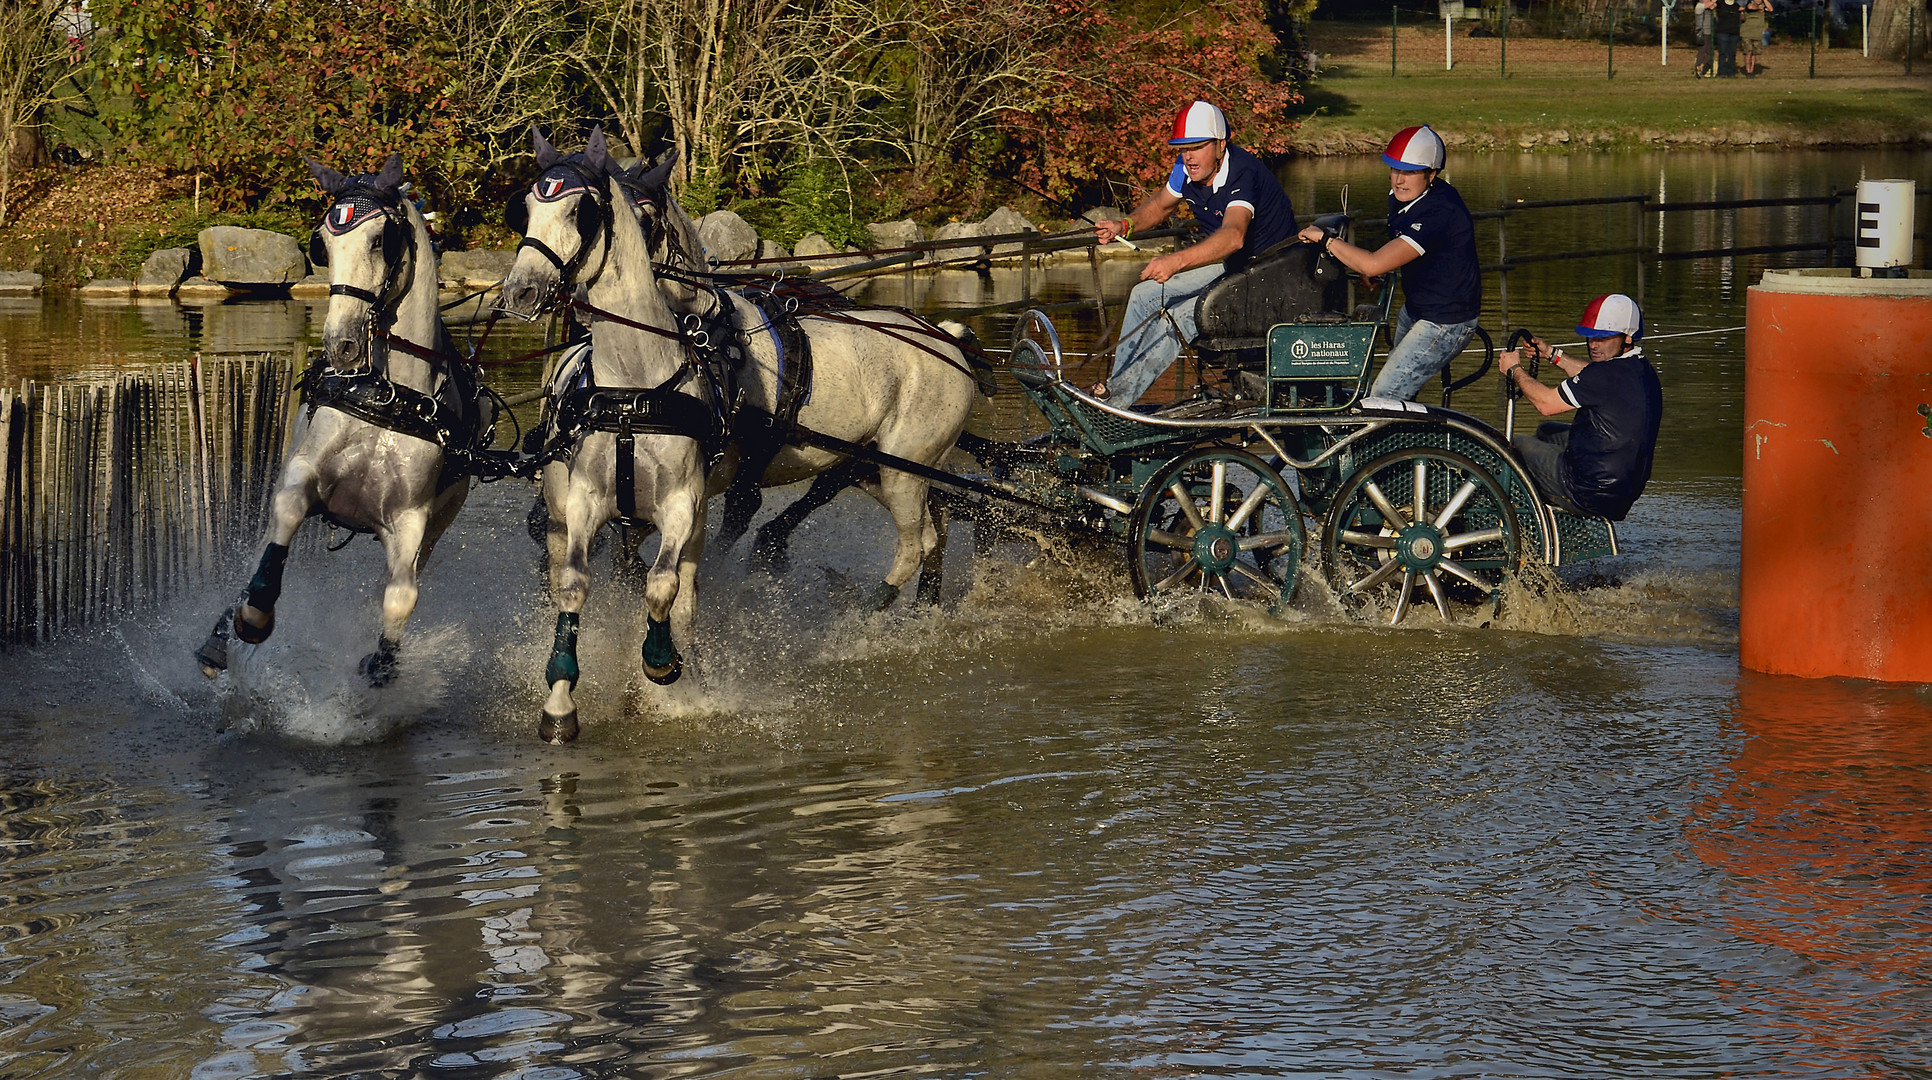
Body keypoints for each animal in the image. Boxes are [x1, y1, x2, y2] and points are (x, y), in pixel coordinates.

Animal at [194, 156, 490, 687]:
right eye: (322, 243)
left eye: (381, 239)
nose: (342, 344)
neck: (385, 395)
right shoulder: (303, 473)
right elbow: (286, 518)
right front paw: (254, 613)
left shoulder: (411, 519)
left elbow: (401, 596)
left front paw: (382, 662)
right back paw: (223, 631)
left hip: (442, 517)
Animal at [498, 128, 981, 741]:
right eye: (525, 208)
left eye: (583, 212)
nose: (521, 291)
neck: (637, 386)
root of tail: (947, 339)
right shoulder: (590, 501)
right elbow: (591, 580)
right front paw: (564, 701)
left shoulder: (698, 498)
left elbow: (669, 583)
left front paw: (664, 663)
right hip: (875, 467)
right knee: (936, 527)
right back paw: (922, 610)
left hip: (902, 470)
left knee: (914, 543)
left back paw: (856, 625)